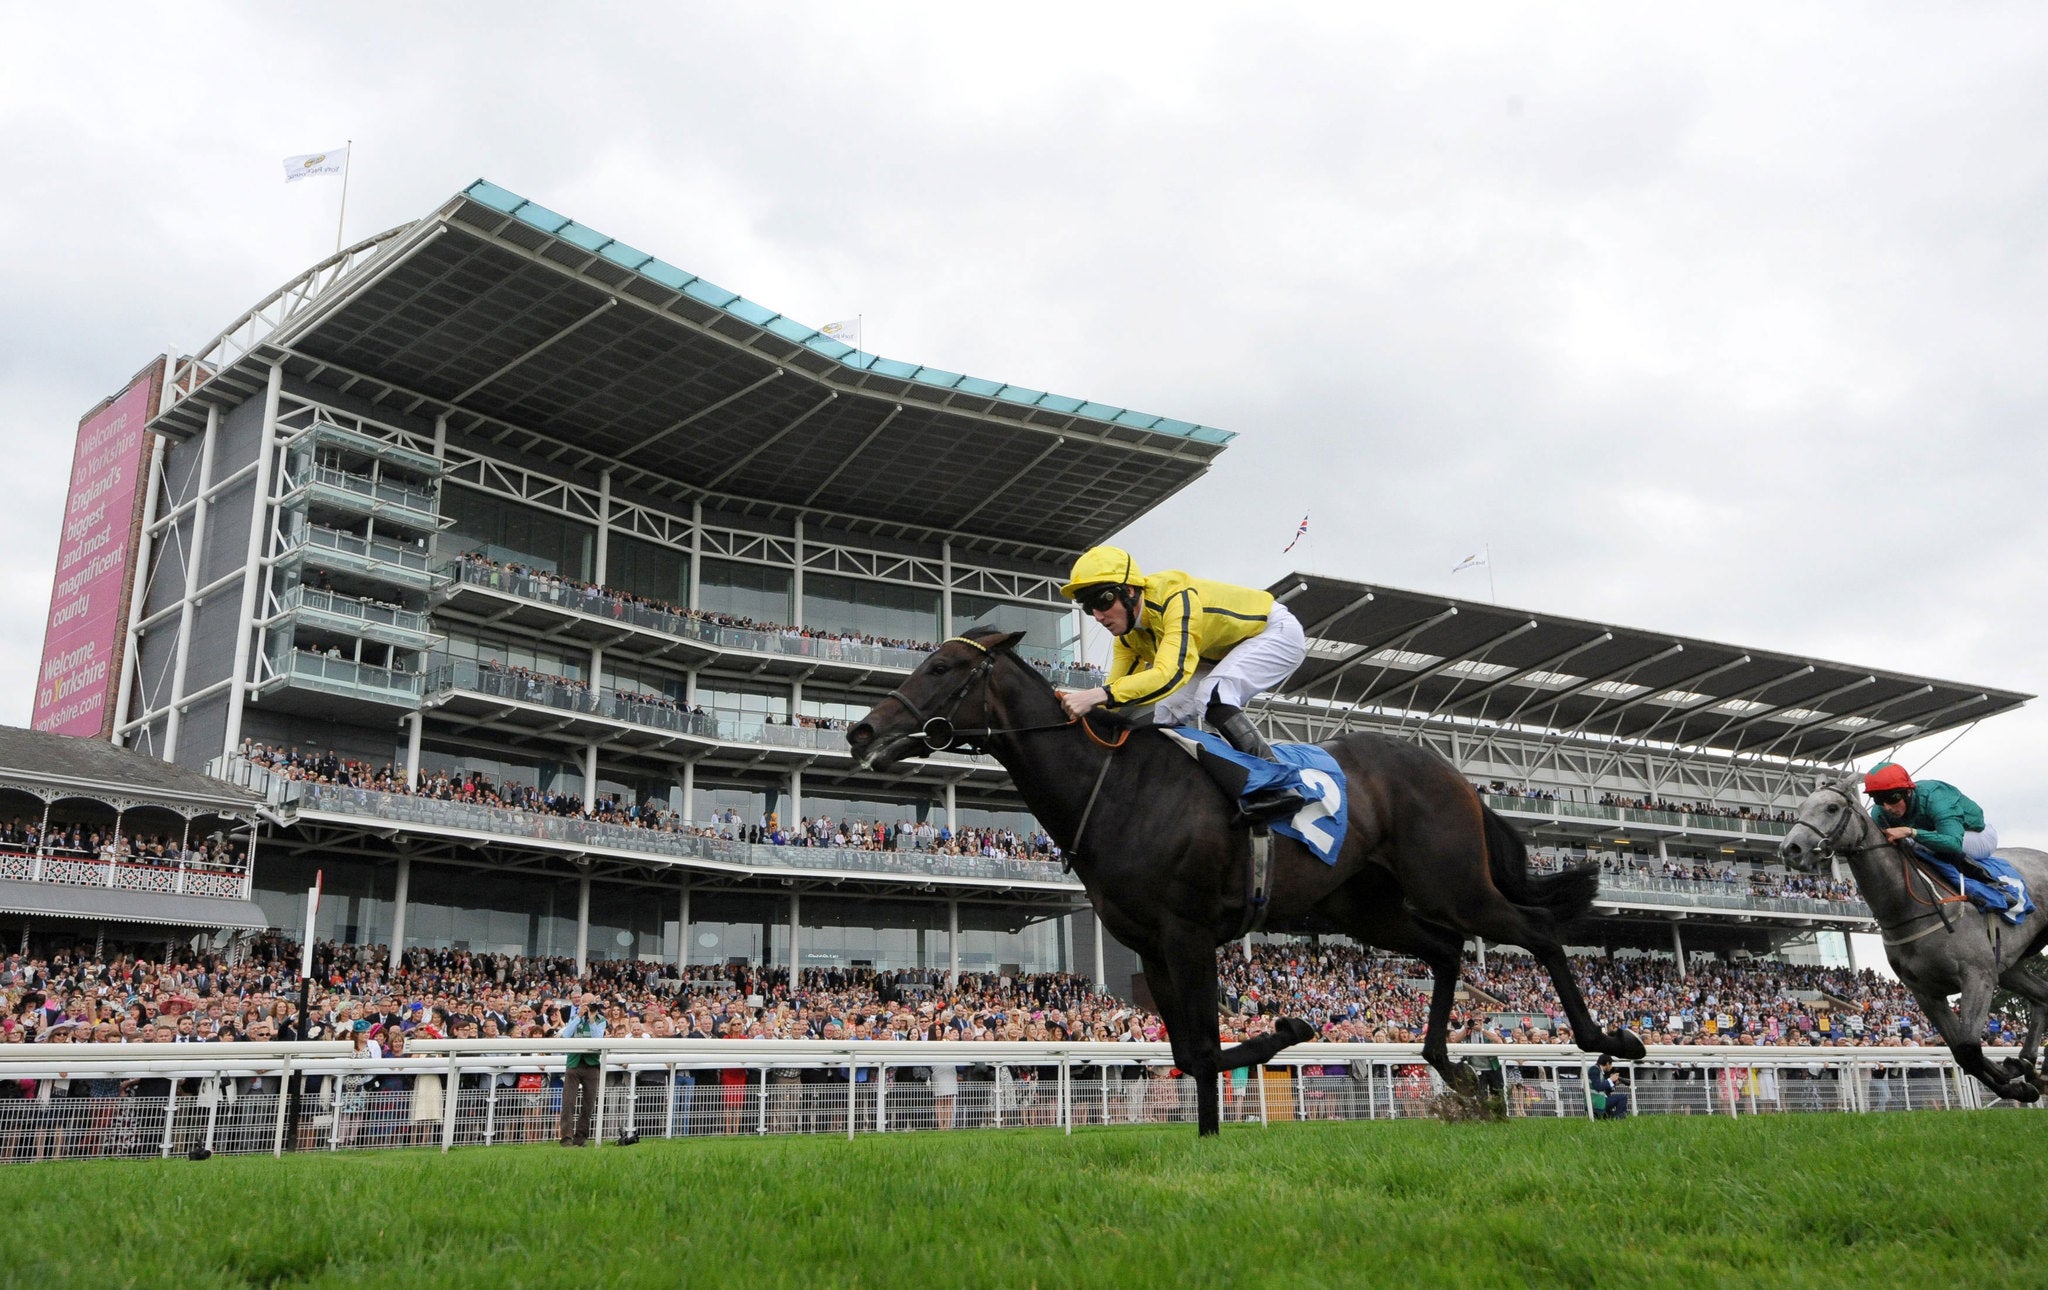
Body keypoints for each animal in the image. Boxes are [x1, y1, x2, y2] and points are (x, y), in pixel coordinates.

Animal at [847, 630, 1646, 1138]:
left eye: (943, 666)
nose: (861, 732)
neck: (1115, 788)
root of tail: (1454, 773)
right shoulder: (1150, 945)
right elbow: (1184, 1052)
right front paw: (1280, 1039)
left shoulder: (1188, 930)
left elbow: (1201, 1048)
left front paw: (1256, 1070)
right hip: (1367, 908)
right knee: (1448, 952)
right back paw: (1460, 1074)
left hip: (1454, 883)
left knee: (1535, 931)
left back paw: (1607, 1037)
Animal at [1777, 782, 2048, 1105]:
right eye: (1800, 808)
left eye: (1831, 807)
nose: (1790, 849)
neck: (1908, 905)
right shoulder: (1925, 992)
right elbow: (1963, 1053)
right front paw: (2017, 1080)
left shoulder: (1978, 975)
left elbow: (1969, 1047)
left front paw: (2015, 1078)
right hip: (2010, 968)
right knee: (2043, 997)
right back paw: (2031, 1065)